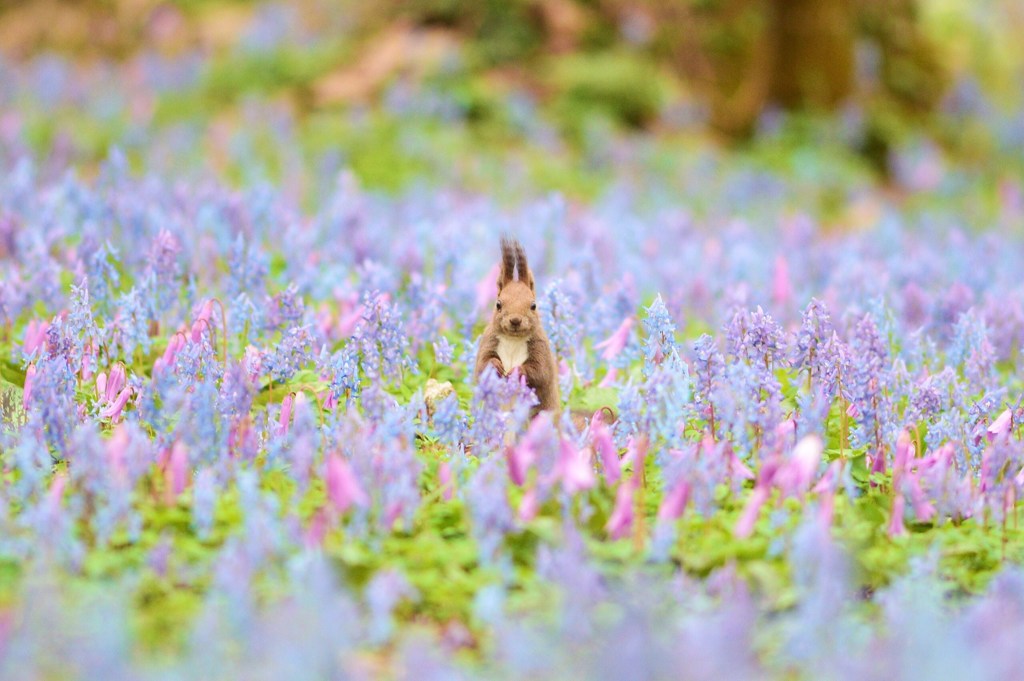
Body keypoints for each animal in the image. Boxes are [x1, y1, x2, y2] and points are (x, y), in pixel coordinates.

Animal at [473, 233, 561, 413]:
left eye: (533, 305)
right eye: (498, 304)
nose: (515, 320)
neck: (513, 340)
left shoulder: (540, 346)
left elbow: (540, 371)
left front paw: (516, 370)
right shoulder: (488, 340)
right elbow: (481, 365)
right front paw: (495, 365)